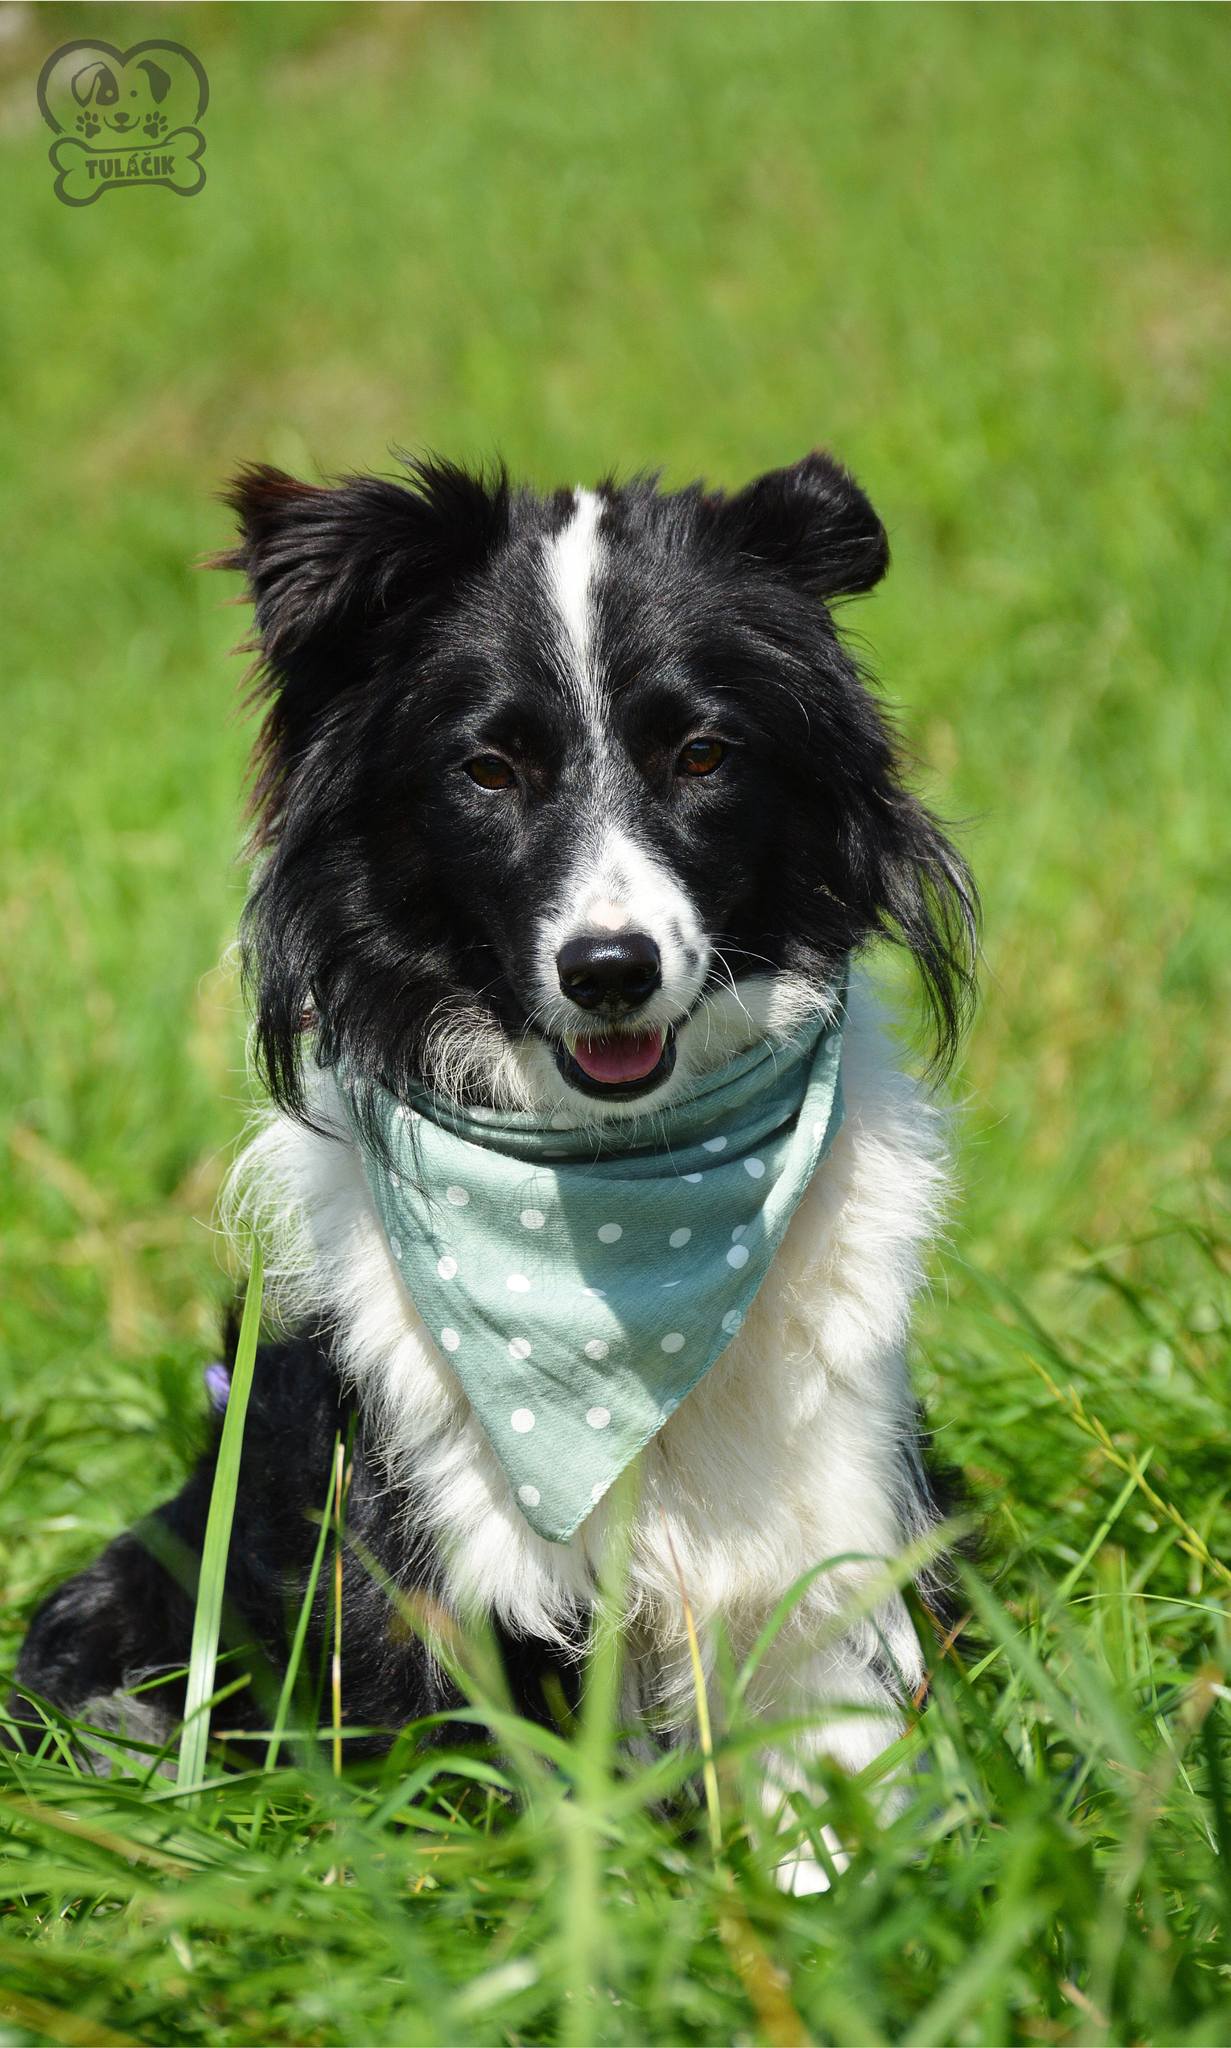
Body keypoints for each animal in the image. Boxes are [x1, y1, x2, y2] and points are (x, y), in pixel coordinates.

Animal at [12, 450, 976, 1890]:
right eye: (485, 768)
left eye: (701, 754)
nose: (609, 968)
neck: (610, 1231)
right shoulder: (416, 1562)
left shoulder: (823, 1529)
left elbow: (836, 1779)